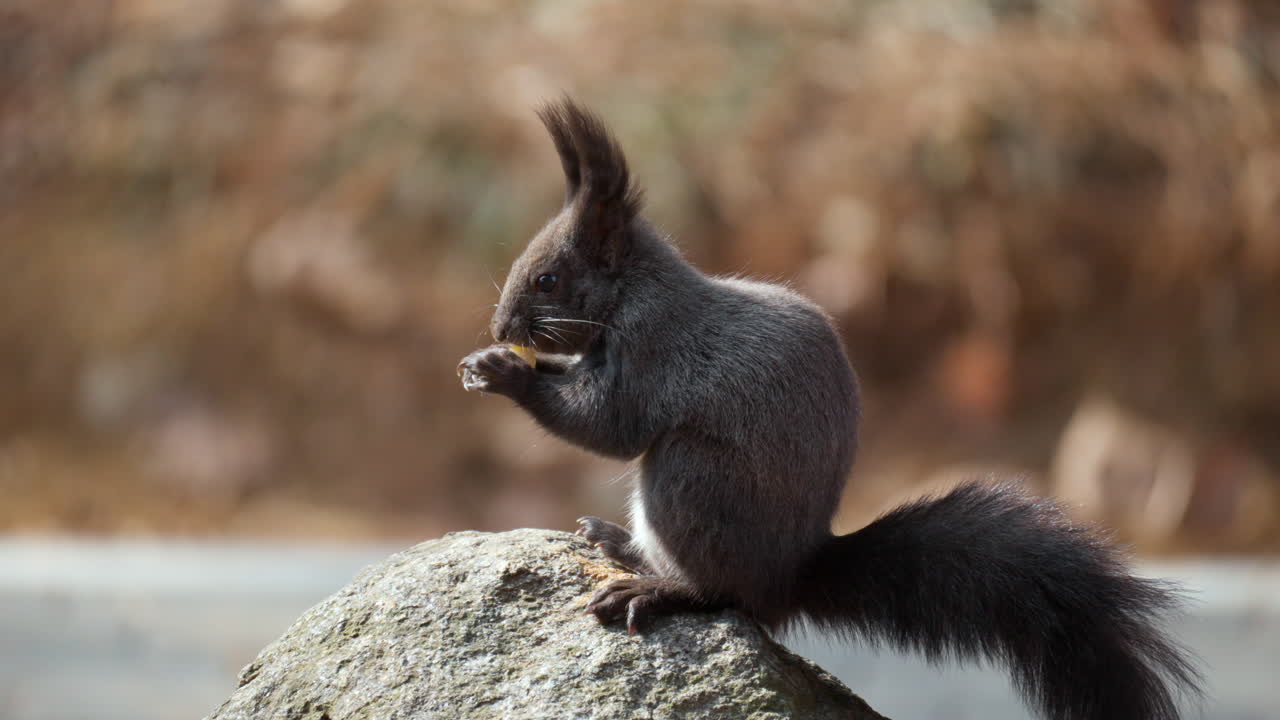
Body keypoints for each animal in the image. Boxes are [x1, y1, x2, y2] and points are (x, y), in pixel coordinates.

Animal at [457, 99, 1201, 720]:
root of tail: (790, 576)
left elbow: (608, 425)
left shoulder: (652, 350)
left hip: (690, 479)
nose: (500, 327)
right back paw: (619, 545)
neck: (632, 293)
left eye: (548, 278)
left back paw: (658, 590)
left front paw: (504, 373)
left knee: (727, 595)